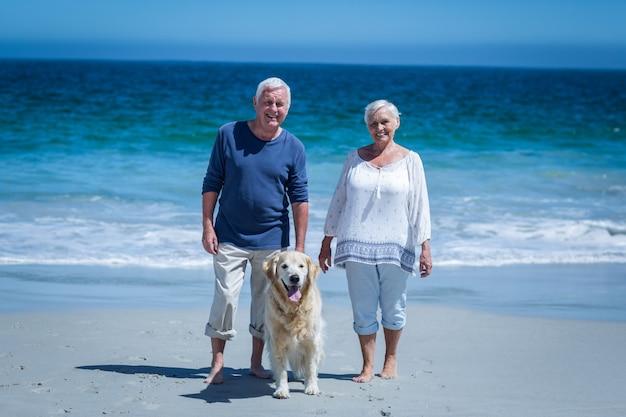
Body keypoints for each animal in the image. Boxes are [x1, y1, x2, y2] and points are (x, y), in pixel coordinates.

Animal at [262, 249, 324, 398]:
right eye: (284, 266)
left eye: (301, 266)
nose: (295, 278)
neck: (293, 308)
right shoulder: (276, 342)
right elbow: (281, 369)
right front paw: (281, 390)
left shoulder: (311, 340)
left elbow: (310, 367)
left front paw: (312, 387)